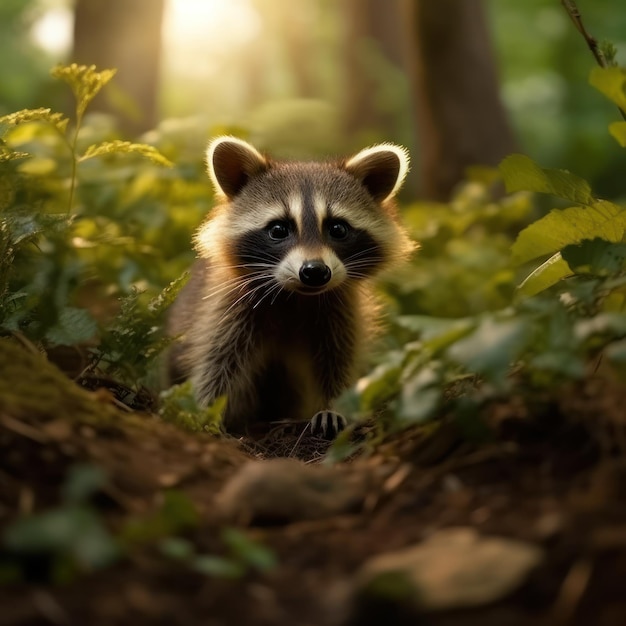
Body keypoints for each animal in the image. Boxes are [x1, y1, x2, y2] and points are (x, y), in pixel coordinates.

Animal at [166, 136, 412, 436]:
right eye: (278, 229)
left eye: (338, 229)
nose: (315, 272)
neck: (296, 296)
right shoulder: (228, 307)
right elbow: (217, 360)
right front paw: (203, 411)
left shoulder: (341, 312)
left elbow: (338, 360)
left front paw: (333, 407)